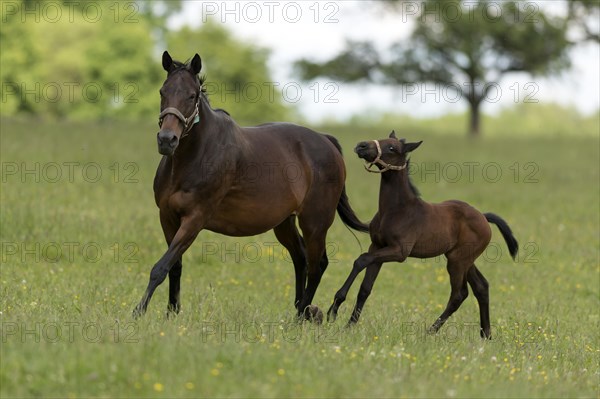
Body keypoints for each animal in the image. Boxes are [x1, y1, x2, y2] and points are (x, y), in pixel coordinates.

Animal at [326, 131, 516, 338]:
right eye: (381, 139)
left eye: (392, 148)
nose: (361, 146)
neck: (395, 209)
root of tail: (483, 217)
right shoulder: (377, 246)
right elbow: (365, 288)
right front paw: (349, 325)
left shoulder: (399, 252)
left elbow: (361, 260)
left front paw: (334, 308)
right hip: (463, 258)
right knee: (481, 287)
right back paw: (486, 335)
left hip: (458, 261)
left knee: (459, 294)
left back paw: (430, 331)